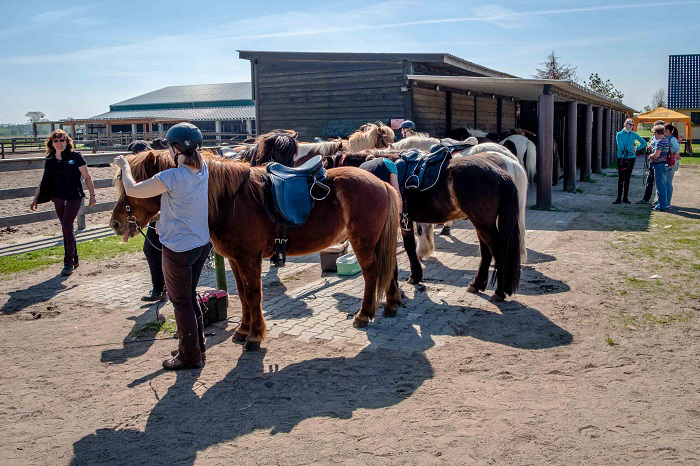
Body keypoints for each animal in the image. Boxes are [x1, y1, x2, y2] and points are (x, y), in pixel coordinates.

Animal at [112, 152, 402, 350]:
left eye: (135, 187)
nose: (115, 223)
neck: (229, 200)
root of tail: (380, 183)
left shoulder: (249, 259)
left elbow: (253, 295)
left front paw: (254, 335)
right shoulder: (235, 260)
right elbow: (242, 296)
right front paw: (242, 329)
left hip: (363, 241)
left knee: (372, 273)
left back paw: (364, 314)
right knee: (389, 269)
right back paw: (390, 304)